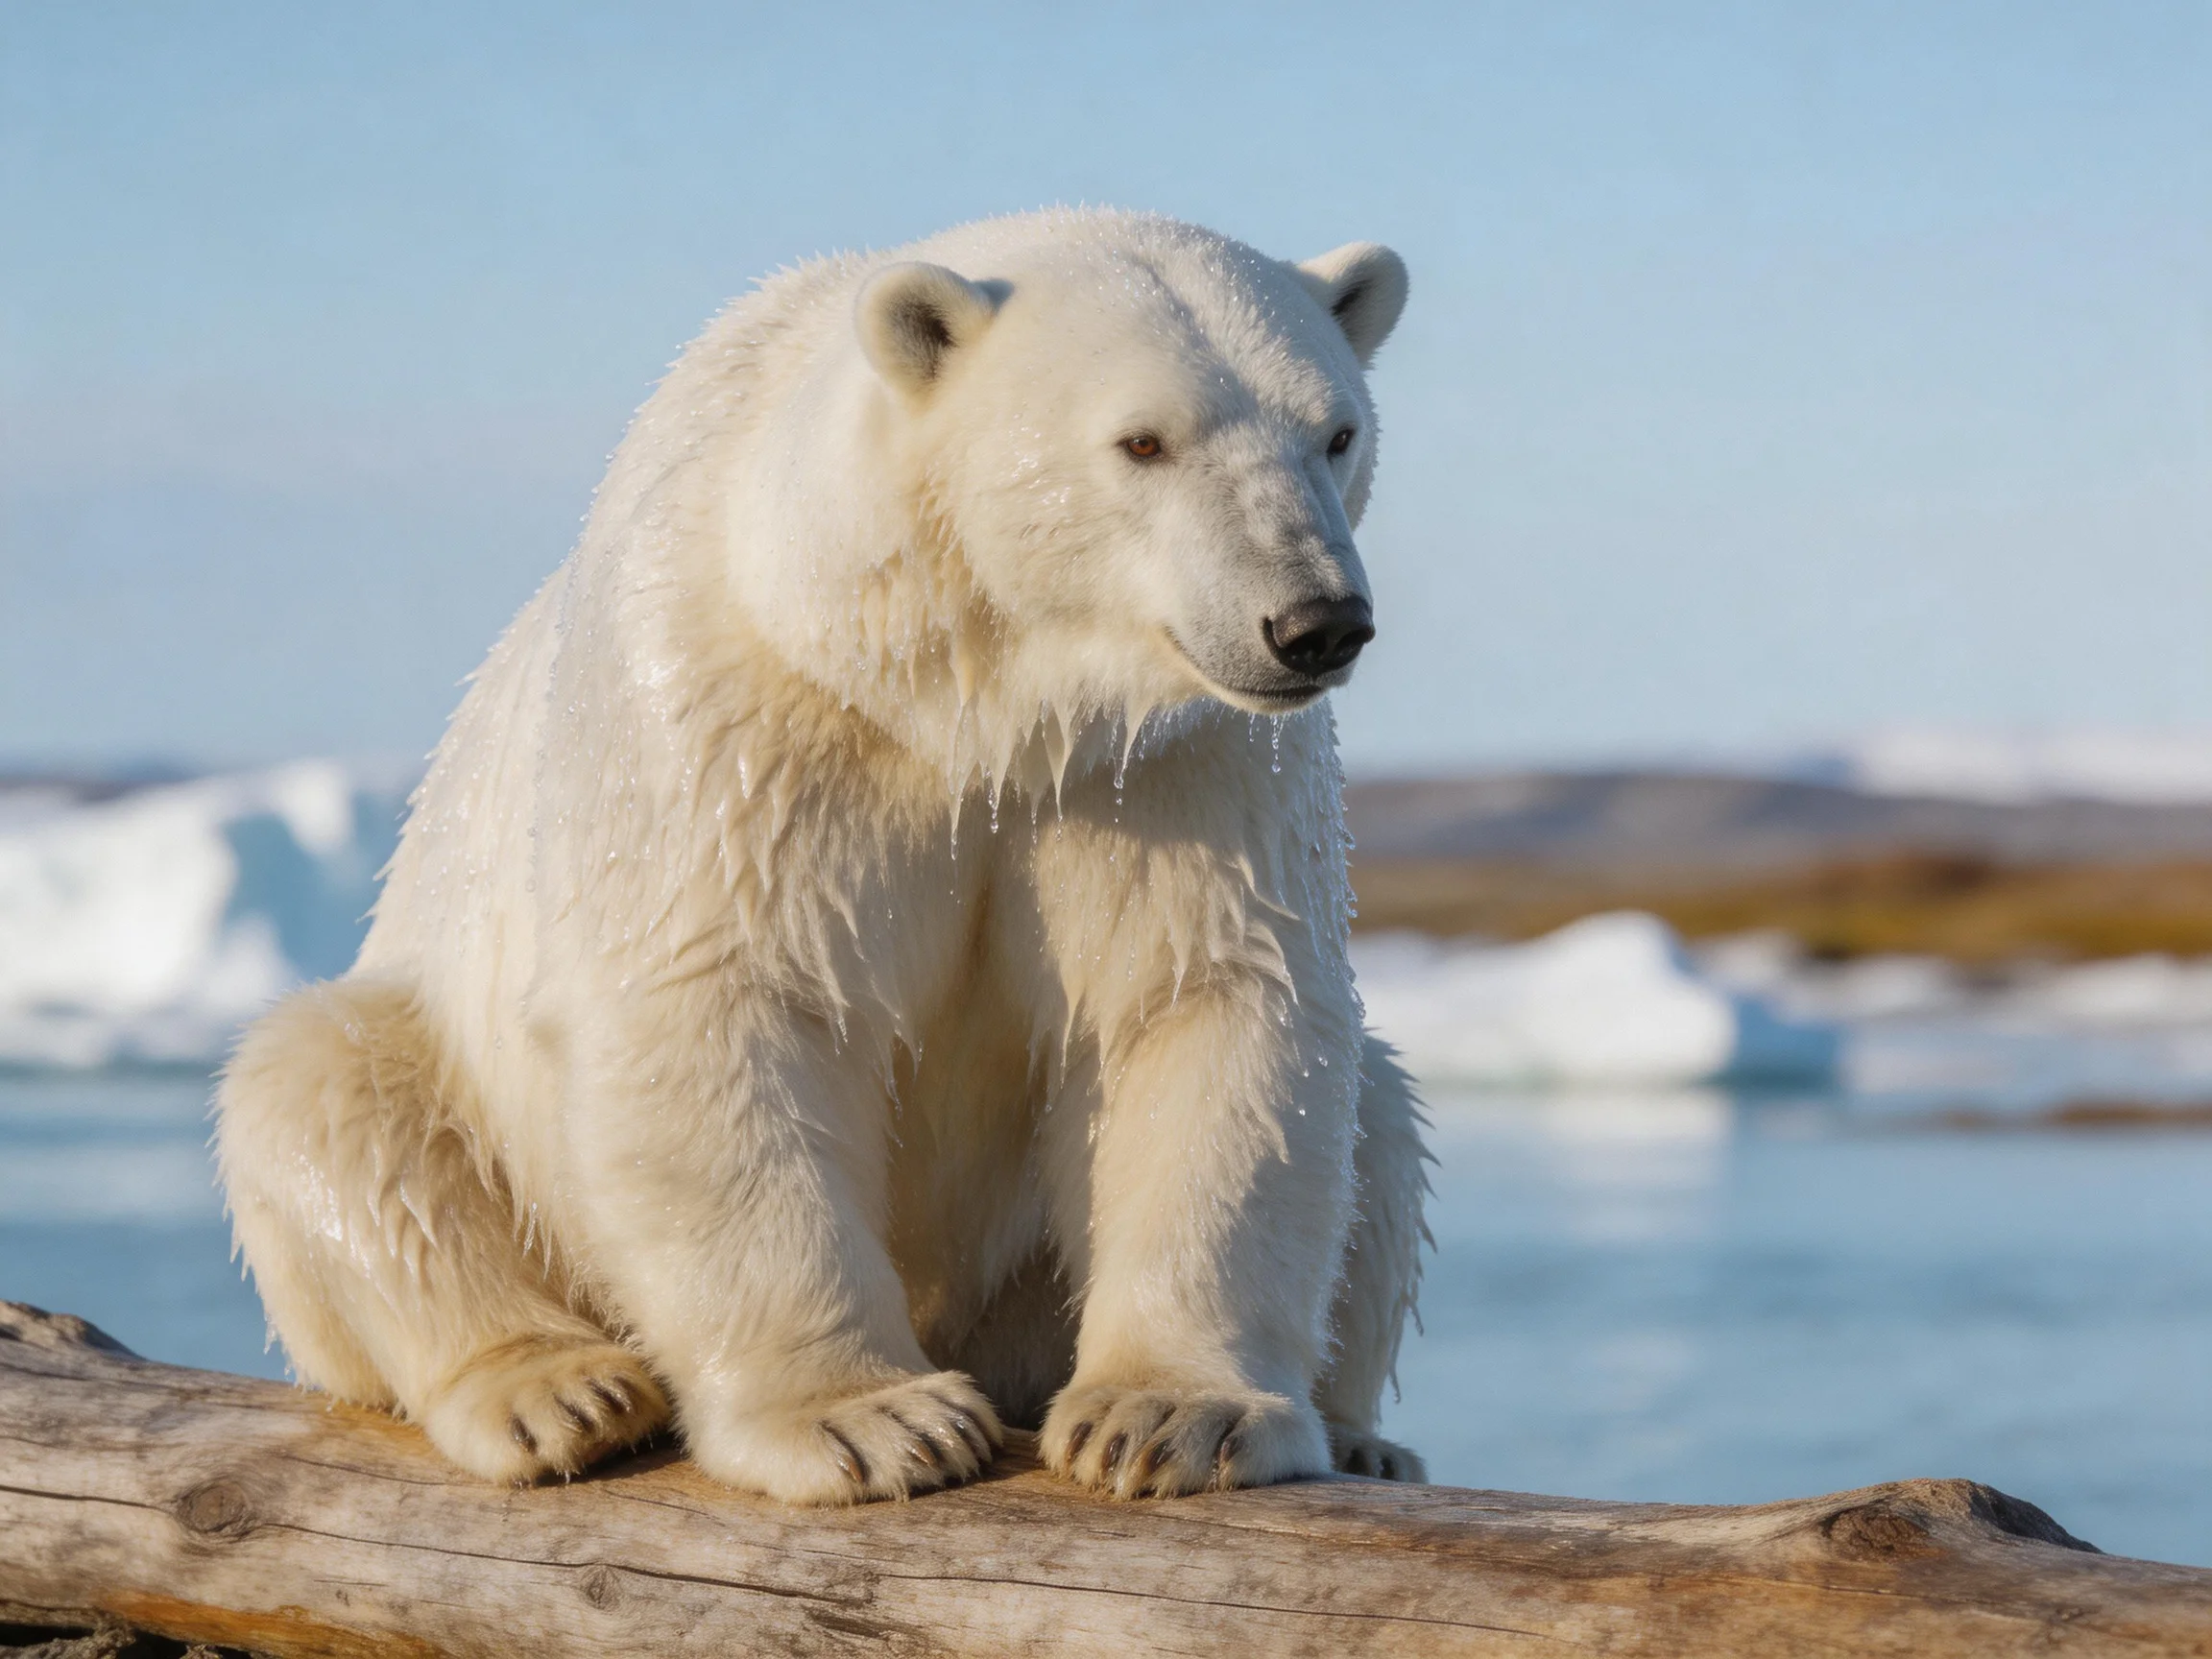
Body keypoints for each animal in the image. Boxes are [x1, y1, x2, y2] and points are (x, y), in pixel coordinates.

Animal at [215, 208, 1431, 1505]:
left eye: (1336, 431)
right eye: (1142, 439)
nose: (1314, 622)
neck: (951, 697)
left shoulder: (1172, 763)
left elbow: (1203, 1009)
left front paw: (1169, 1419)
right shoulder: (741, 710)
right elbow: (721, 1003)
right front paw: (871, 1420)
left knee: (1378, 1115)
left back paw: (1365, 1437)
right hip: (444, 1074)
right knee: (327, 1097)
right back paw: (560, 1392)